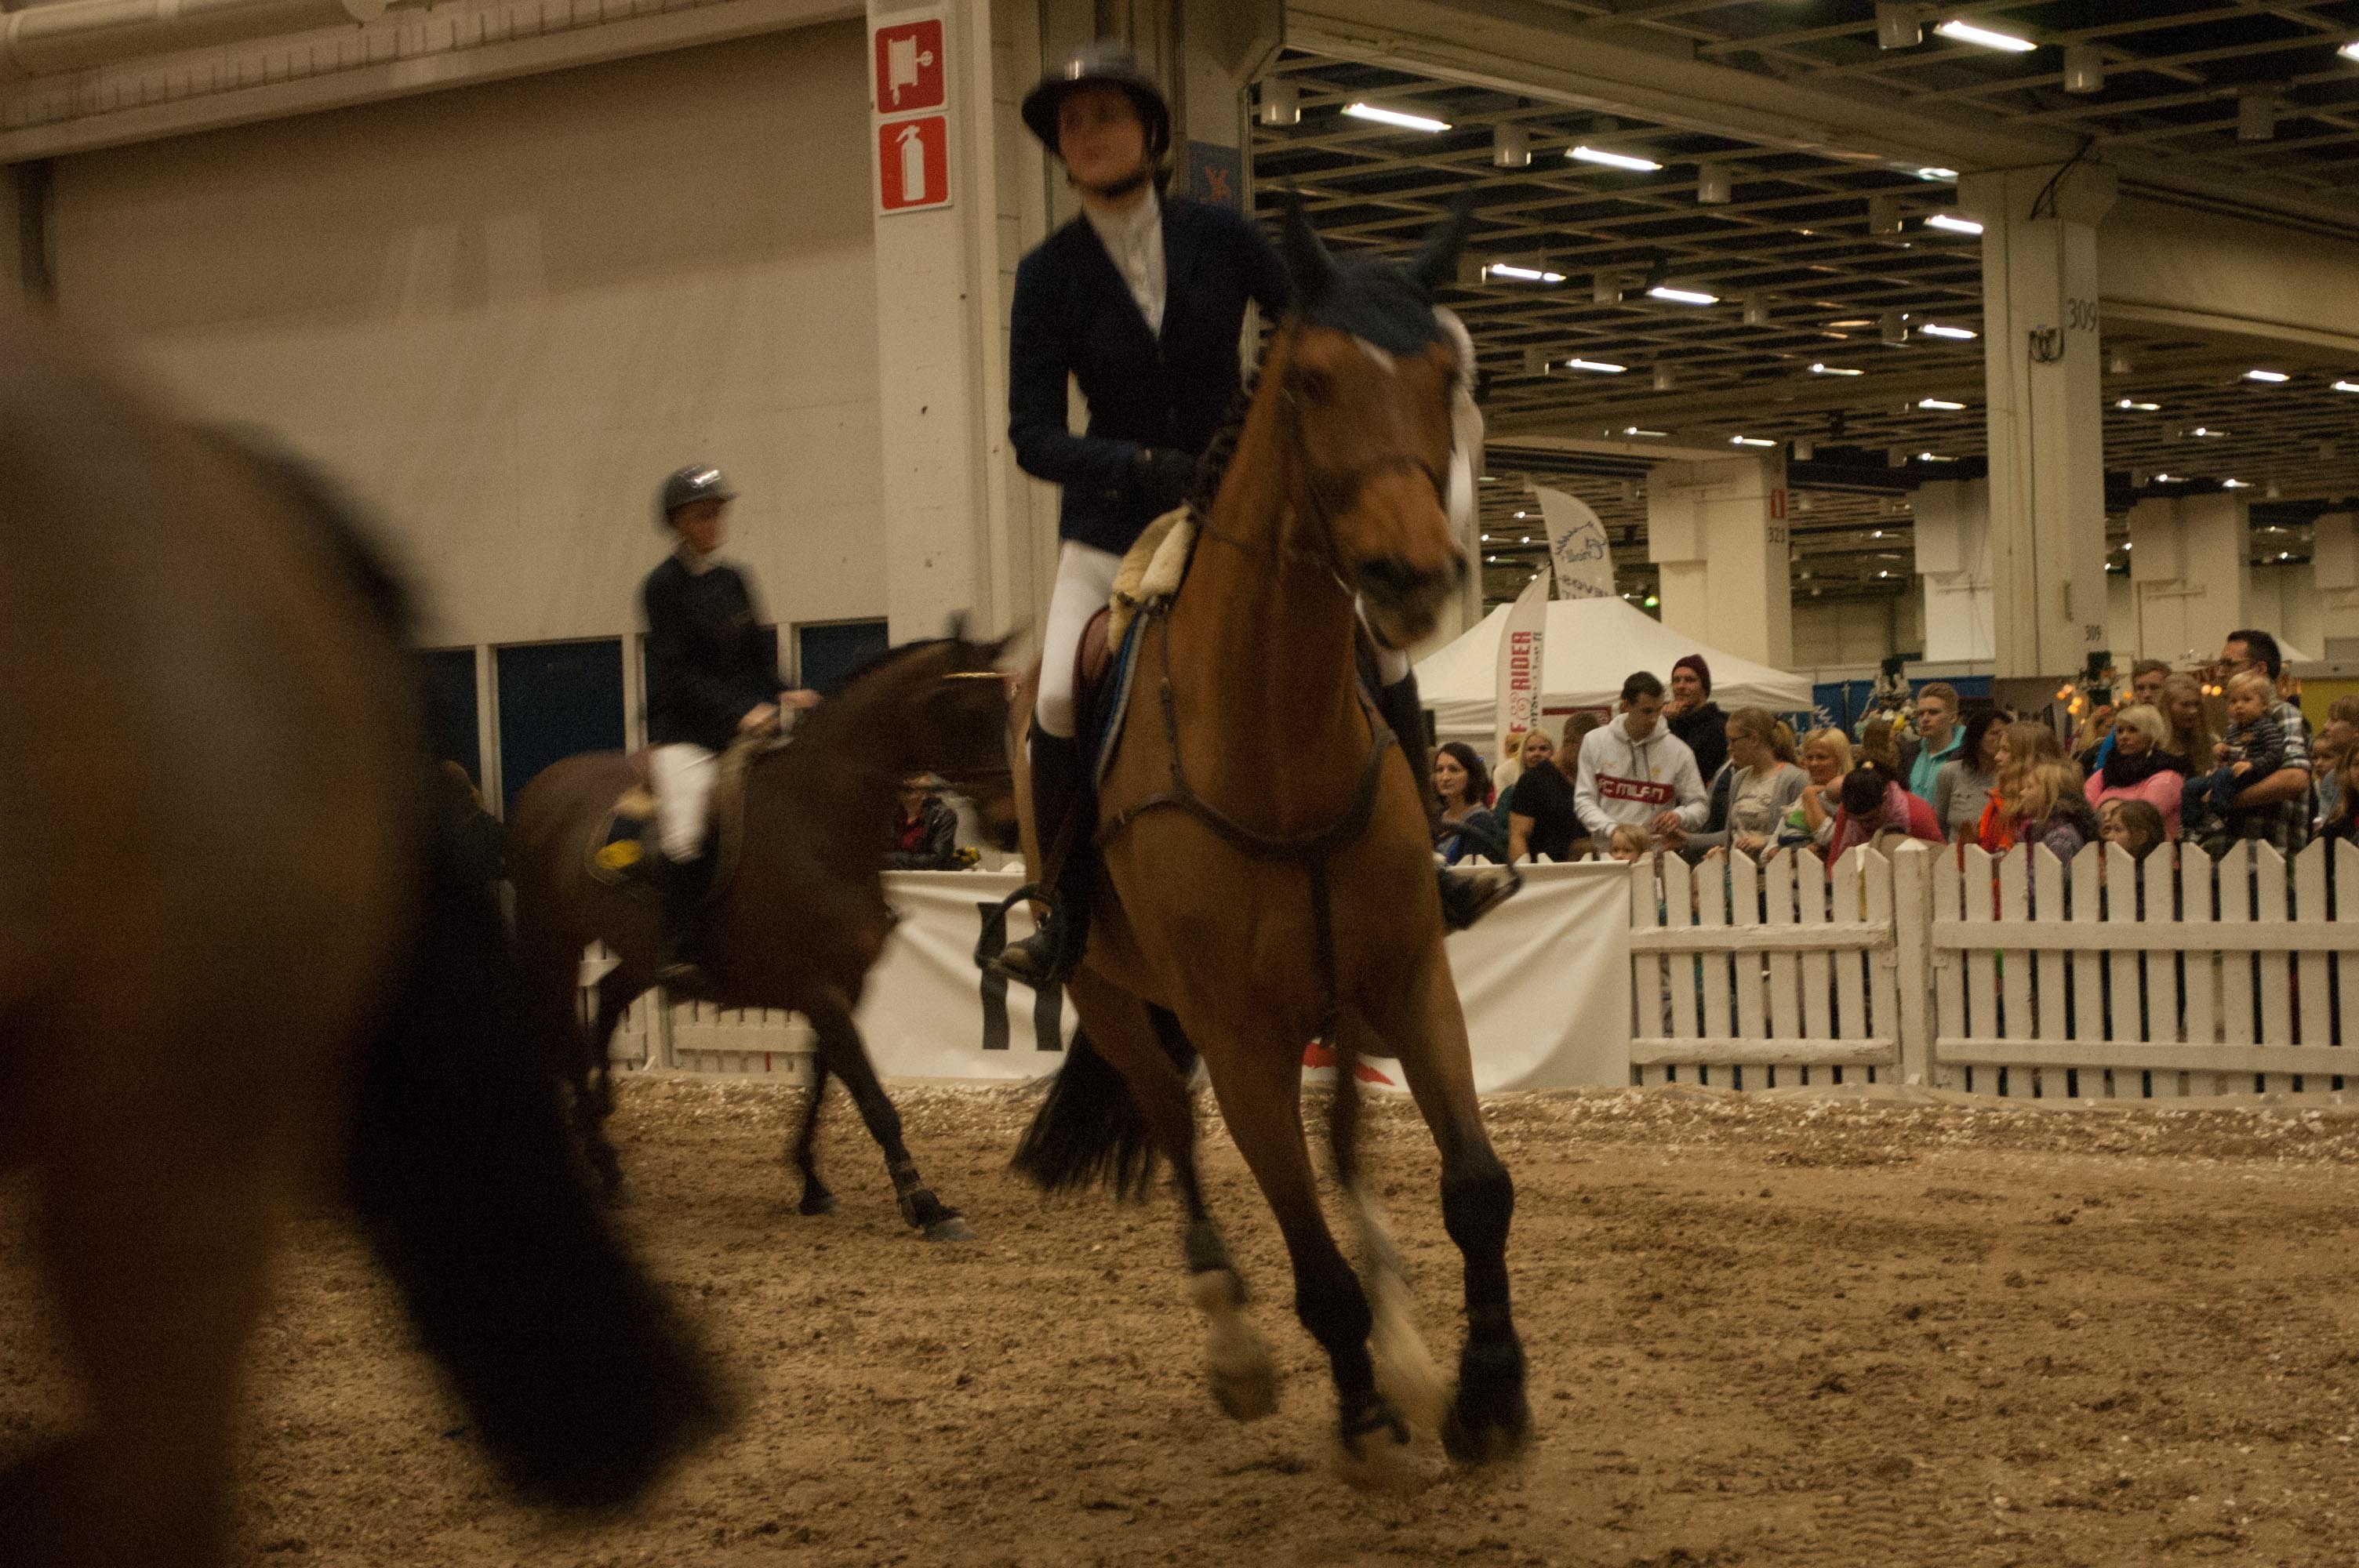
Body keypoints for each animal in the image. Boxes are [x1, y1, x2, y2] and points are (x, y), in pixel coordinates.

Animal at [506, 632, 1016, 1240]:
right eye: (968, 712)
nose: (1011, 825)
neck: (820, 821)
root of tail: (541, 786)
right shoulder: (822, 991)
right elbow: (872, 1100)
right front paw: (926, 1204)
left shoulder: (844, 989)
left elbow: (821, 1086)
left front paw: (812, 1183)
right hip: (552, 943)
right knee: (565, 1034)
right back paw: (601, 1158)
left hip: (638, 954)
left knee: (605, 1001)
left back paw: (607, 1155)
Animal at [1004, 200, 1531, 1472]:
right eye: (1311, 380)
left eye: (1446, 378)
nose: (1411, 577)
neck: (1279, 747)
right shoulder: (1238, 1042)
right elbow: (1306, 1256)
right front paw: (1365, 1414)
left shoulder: (1409, 980)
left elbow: (1475, 1186)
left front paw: (1486, 1387)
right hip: (1112, 998)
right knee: (1174, 1133)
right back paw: (1240, 1342)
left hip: (1336, 1002)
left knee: (1343, 1142)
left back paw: (1405, 1338)